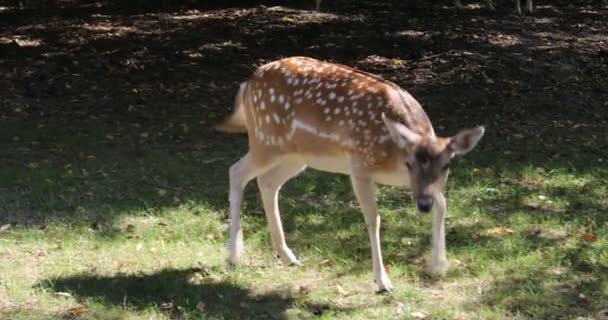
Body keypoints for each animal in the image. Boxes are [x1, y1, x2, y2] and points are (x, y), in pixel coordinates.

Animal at [214, 55, 484, 292]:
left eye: (446, 165)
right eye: (409, 163)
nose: (423, 206)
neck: (393, 158)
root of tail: (249, 82)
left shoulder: (417, 185)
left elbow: (443, 204)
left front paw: (439, 265)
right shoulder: (359, 165)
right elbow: (374, 219)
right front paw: (382, 282)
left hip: (295, 156)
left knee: (267, 182)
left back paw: (287, 254)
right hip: (265, 142)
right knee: (236, 172)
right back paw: (233, 255)